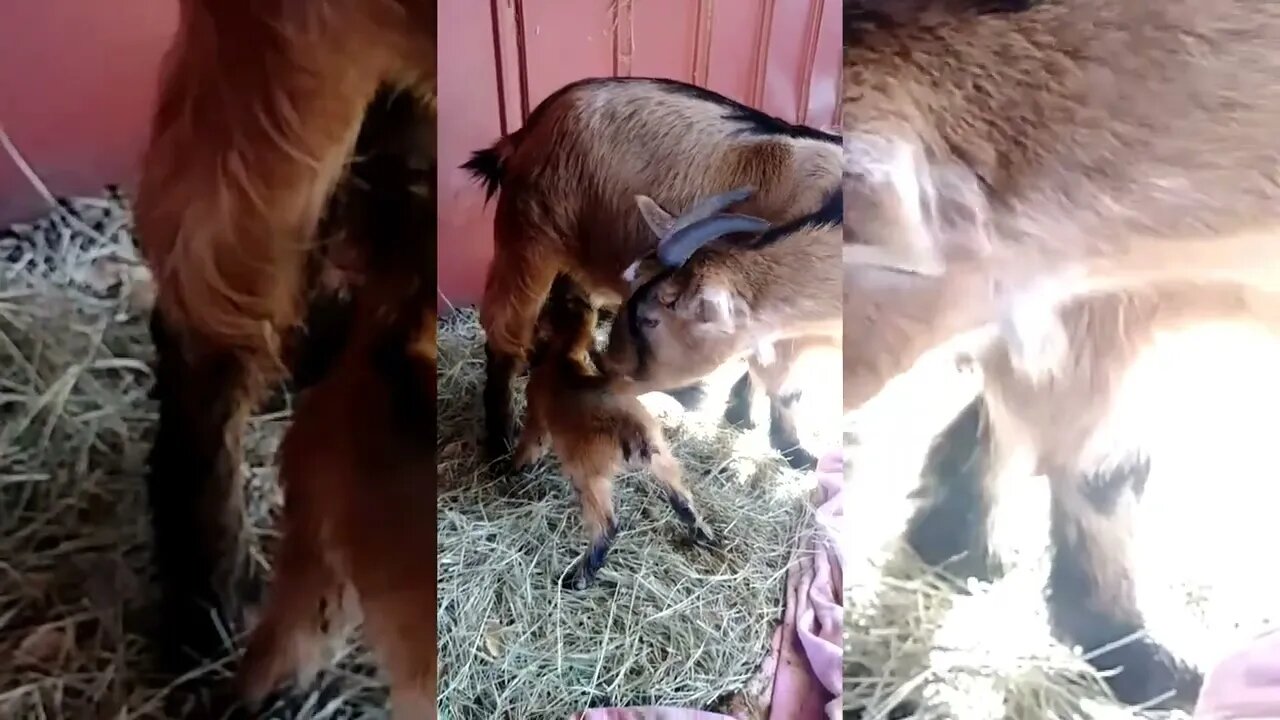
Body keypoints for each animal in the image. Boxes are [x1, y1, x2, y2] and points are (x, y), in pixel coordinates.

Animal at [460, 77, 839, 458]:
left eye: (653, 318)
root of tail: (530, 125)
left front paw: (743, 414)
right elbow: (783, 383)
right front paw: (791, 445)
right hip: (530, 237)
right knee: (506, 332)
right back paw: (500, 442)